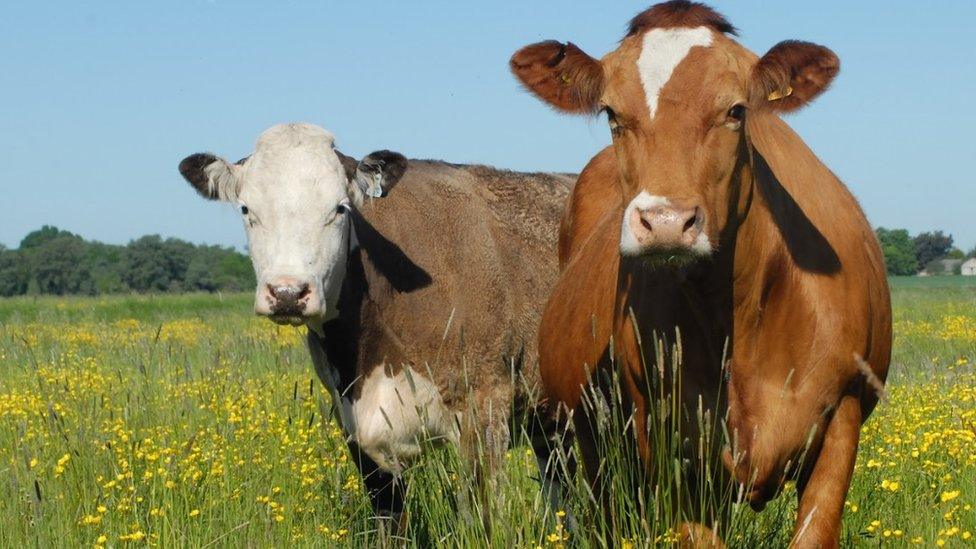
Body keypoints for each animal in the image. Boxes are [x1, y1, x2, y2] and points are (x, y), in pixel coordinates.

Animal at [177, 123, 572, 528]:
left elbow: (485, 519)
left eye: (339, 208)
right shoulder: (357, 430)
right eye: (246, 209)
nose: (288, 293)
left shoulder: (485, 407)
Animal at [510, 2, 892, 544]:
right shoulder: (674, 446)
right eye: (611, 113)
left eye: (736, 110)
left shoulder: (842, 414)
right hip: (594, 442)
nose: (667, 221)